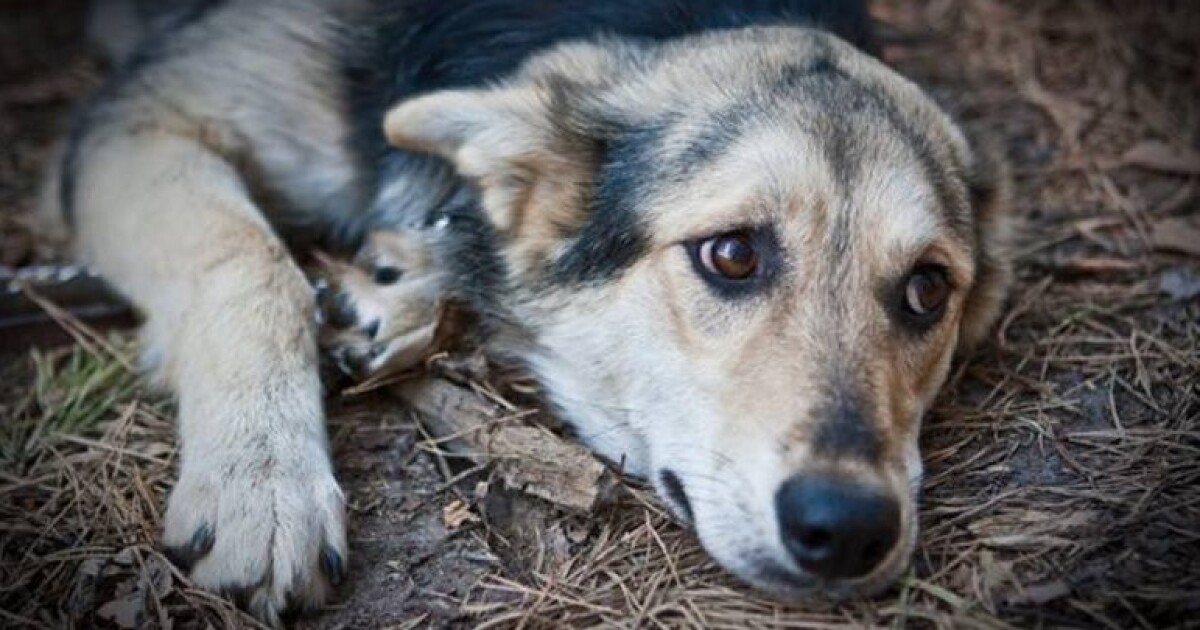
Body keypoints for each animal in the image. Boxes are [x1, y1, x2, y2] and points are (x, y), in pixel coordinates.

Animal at [44, 1, 1012, 624]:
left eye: (927, 290)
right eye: (733, 254)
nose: (848, 531)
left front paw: (413, 283)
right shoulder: (139, 117)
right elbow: (253, 265)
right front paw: (263, 482)